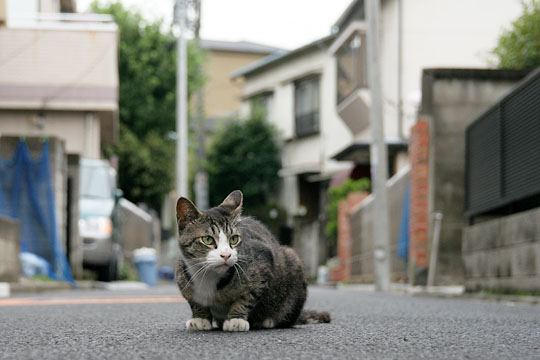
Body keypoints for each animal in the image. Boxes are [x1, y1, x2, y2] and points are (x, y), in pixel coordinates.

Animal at [175, 191, 332, 332]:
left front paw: (236, 319)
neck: (210, 276)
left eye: (234, 239)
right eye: (207, 239)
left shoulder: (263, 263)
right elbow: (194, 301)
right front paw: (200, 318)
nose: (226, 255)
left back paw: (268, 321)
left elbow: (247, 297)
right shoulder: (182, 276)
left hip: (293, 262)